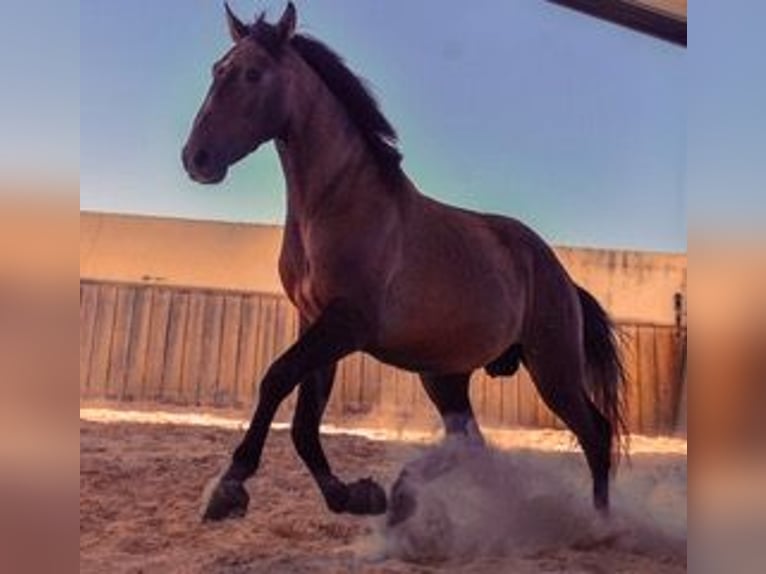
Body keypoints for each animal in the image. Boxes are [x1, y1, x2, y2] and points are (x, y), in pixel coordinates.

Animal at [183, 3, 628, 528]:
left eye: (252, 74)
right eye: (217, 70)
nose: (196, 159)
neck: (340, 203)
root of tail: (560, 276)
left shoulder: (346, 325)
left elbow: (275, 379)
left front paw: (228, 487)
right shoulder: (316, 322)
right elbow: (305, 423)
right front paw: (352, 495)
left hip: (553, 368)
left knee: (595, 433)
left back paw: (600, 524)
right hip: (444, 375)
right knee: (471, 443)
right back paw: (404, 496)